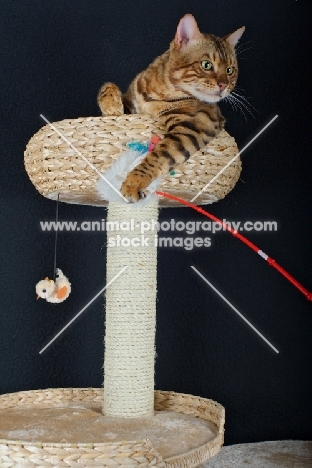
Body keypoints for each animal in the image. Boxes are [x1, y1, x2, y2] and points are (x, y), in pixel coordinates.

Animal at [97, 14, 244, 201]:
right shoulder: (132, 107)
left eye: (230, 70)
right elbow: (108, 86)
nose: (224, 85)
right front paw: (111, 106)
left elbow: (159, 156)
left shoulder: (194, 126)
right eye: (206, 65)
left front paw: (134, 182)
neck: (157, 92)